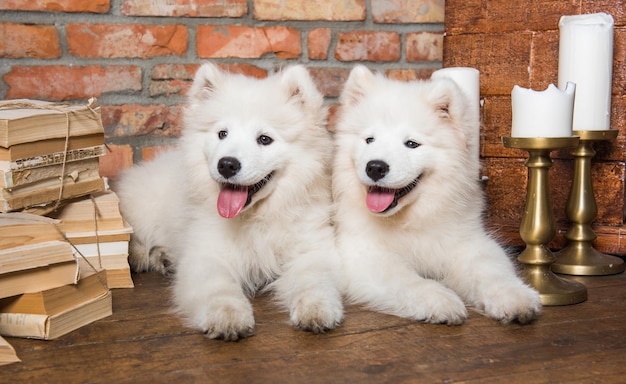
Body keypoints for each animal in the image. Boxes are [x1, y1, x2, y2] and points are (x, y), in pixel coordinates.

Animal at [114, 63, 344, 342]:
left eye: (264, 139)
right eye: (222, 134)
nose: (226, 164)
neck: (256, 217)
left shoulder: (310, 248)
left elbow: (314, 280)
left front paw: (316, 309)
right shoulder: (206, 253)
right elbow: (219, 288)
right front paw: (228, 318)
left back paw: (163, 257)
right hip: (143, 207)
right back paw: (142, 256)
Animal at [332, 66, 540, 324]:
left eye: (411, 144)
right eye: (369, 139)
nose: (375, 167)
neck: (410, 220)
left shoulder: (468, 242)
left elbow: (491, 270)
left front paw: (514, 297)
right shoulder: (363, 253)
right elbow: (409, 281)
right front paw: (441, 300)